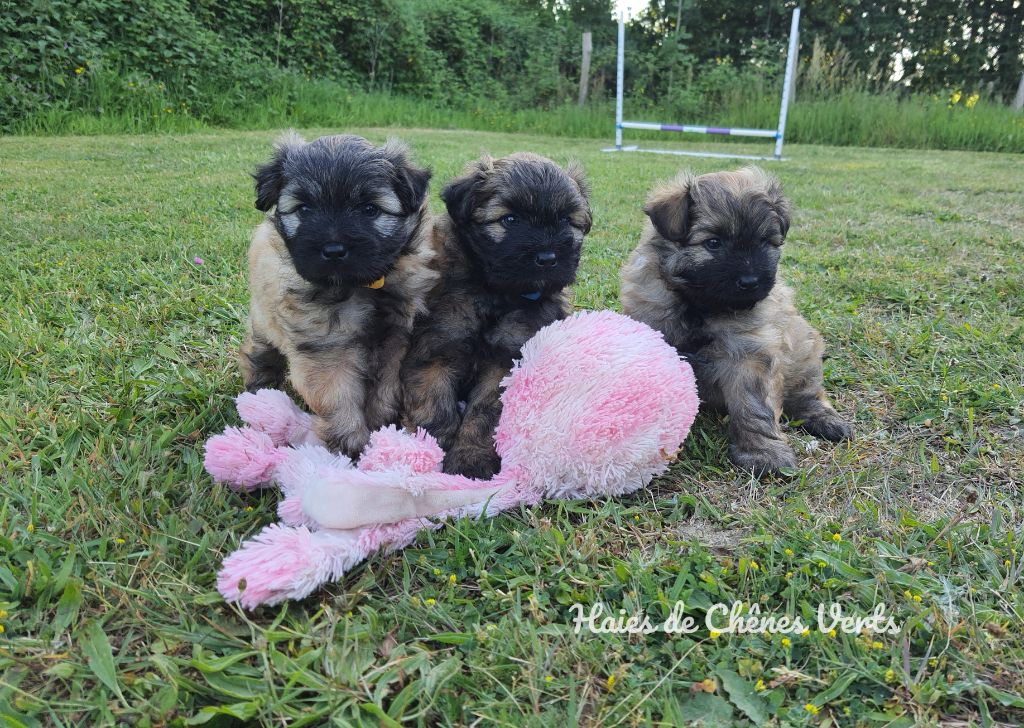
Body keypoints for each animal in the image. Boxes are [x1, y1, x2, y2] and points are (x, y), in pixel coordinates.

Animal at [242, 132, 436, 454]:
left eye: (369, 209)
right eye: (304, 209)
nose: (333, 250)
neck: (362, 287)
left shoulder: (395, 340)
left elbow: (385, 390)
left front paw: (380, 427)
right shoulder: (327, 349)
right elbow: (337, 396)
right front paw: (350, 443)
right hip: (263, 326)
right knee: (258, 355)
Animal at [401, 153, 593, 481]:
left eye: (567, 221)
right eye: (510, 219)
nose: (547, 258)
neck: (496, 293)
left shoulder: (505, 361)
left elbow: (484, 414)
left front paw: (470, 458)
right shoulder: (435, 350)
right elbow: (434, 406)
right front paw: (428, 448)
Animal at [618, 165, 851, 475]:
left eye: (764, 242)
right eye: (713, 243)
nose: (750, 282)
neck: (699, 306)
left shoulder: (749, 353)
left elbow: (754, 407)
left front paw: (762, 452)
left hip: (804, 352)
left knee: (808, 394)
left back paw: (826, 420)